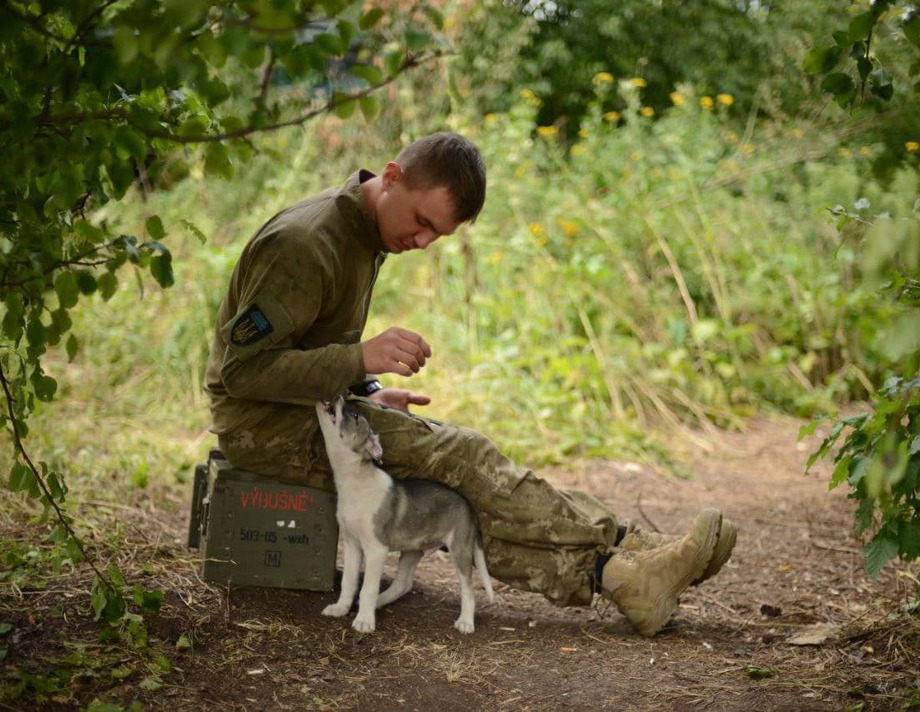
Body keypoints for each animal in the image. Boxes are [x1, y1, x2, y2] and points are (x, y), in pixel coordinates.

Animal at [314, 394, 492, 636]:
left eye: (356, 416)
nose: (340, 396)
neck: (354, 482)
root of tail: (470, 506)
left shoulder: (376, 549)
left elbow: (367, 587)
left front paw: (364, 621)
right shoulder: (352, 544)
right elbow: (348, 583)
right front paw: (340, 608)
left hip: (459, 548)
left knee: (468, 588)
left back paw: (465, 622)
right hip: (413, 548)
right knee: (403, 583)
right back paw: (380, 602)